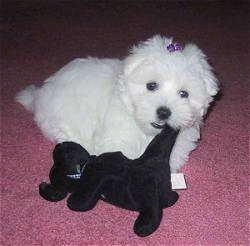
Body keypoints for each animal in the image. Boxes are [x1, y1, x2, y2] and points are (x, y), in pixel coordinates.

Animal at [16, 35, 218, 172]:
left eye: (184, 94)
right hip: (70, 113)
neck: (146, 131)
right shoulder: (117, 137)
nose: (164, 112)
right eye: (151, 85)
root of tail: (40, 94)